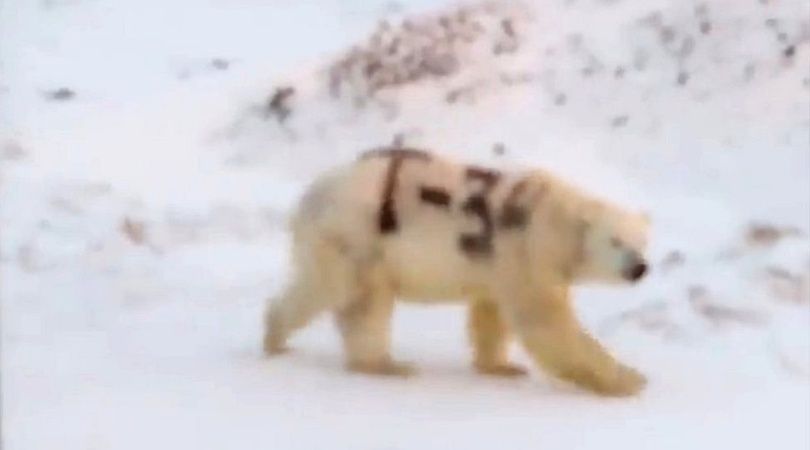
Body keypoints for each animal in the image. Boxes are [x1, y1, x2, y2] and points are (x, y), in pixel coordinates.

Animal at [263, 147, 650, 397]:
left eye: (643, 241)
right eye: (616, 241)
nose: (640, 267)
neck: (555, 218)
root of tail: (310, 195)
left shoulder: (498, 263)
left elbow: (491, 313)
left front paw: (502, 367)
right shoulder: (526, 249)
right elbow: (547, 322)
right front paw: (629, 380)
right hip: (356, 234)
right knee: (348, 294)